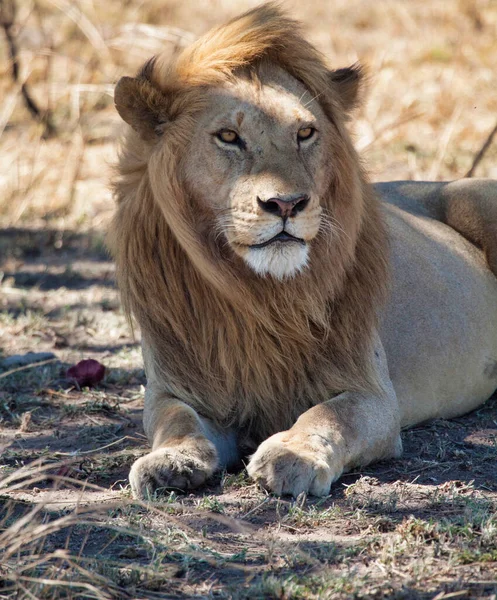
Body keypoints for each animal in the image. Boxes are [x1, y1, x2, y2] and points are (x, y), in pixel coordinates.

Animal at [108, 3, 496, 502]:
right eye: (228, 136)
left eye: (306, 133)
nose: (287, 204)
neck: (262, 296)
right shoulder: (176, 386)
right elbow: (177, 421)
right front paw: (169, 461)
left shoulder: (372, 393)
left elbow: (329, 416)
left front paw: (291, 456)